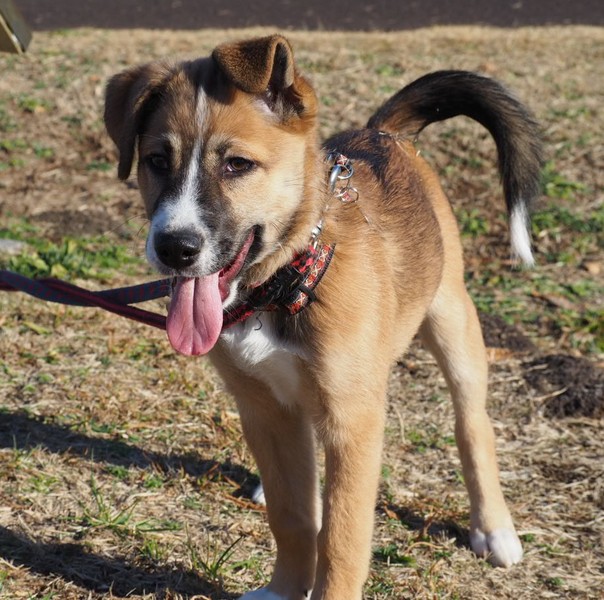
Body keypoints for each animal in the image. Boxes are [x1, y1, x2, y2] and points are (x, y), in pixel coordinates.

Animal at [104, 35, 542, 600]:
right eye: (157, 160)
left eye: (237, 165)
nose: (174, 248)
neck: (285, 284)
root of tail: (382, 133)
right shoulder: (262, 408)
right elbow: (293, 518)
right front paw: (284, 588)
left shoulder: (352, 421)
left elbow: (341, 538)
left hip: (453, 320)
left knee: (473, 426)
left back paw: (494, 527)